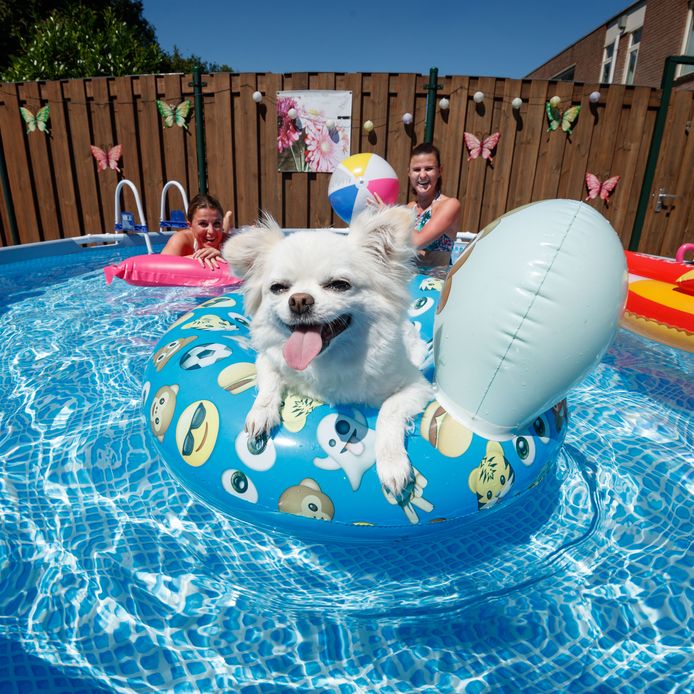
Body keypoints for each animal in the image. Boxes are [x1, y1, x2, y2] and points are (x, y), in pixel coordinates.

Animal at [223, 205, 432, 494]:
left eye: (339, 285)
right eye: (279, 288)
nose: (299, 300)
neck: (325, 361)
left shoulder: (417, 385)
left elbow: (389, 411)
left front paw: (392, 463)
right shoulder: (268, 358)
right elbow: (270, 383)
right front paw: (261, 413)